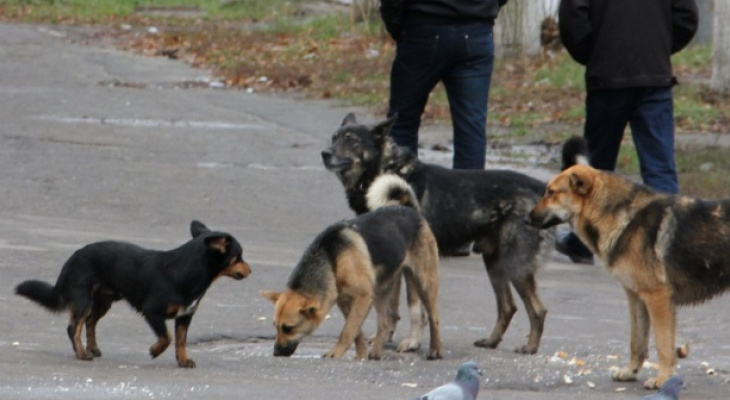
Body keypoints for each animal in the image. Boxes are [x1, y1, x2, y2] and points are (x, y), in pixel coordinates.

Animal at [14, 220, 250, 368]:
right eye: (238, 256)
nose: (250, 270)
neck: (187, 269)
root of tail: (72, 258)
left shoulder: (184, 316)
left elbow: (181, 340)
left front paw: (183, 360)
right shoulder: (152, 312)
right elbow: (166, 337)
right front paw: (155, 351)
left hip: (103, 301)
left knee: (90, 322)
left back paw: (93, 348)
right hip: (83, 299)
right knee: (74, 327)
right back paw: (82, 353)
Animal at [262, 175, 444, 360]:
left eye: (288, 328)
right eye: (275, 326)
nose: (275, 352)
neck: (331, 259)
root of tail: (410, 209)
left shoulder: (362, 298)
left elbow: (348, 330)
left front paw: (337, 352)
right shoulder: (345, 302)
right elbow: (356, 332)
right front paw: (361, 355)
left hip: (423, 284)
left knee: (433, 317)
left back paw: (435, 350)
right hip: (381, 291)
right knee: (385, 322)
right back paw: (376, 352)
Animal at [322, 112, 556, 354]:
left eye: (351, 140)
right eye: (334, 138)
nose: (325, 154)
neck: (384, 171)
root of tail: (540, 187)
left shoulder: (413, 265)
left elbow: (415, 308)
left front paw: (412, 341)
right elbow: (391, 308)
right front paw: (384, 338)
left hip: (515, 264)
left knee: (537, 310)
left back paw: (530, 347)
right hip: (493, 262)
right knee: (508, 307)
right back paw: (491, 341)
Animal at [528, 139, 728, 390]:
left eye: (551, 192)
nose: (527, 217)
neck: (617, 215)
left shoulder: (657, 298)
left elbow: (663, 345)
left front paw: (662, 379)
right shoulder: (636, 297)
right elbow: (637, 342)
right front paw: (631, 372)